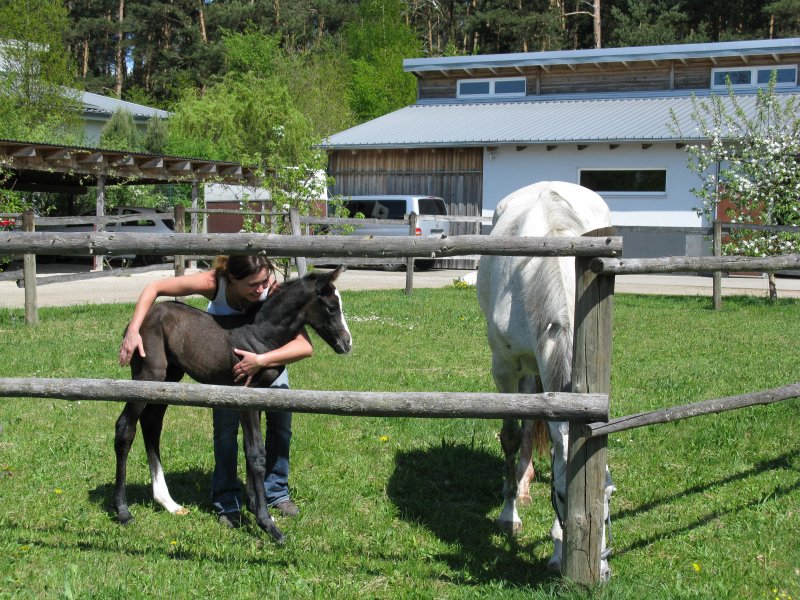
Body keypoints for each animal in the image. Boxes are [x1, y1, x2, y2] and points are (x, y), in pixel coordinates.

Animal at [478, 180, 616, 580]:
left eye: (608, 500)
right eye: (563, 496)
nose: (601, 573)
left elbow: (556, 446)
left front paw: (556, 552)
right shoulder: (505, 367)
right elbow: (510, 436)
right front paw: (508, 515)